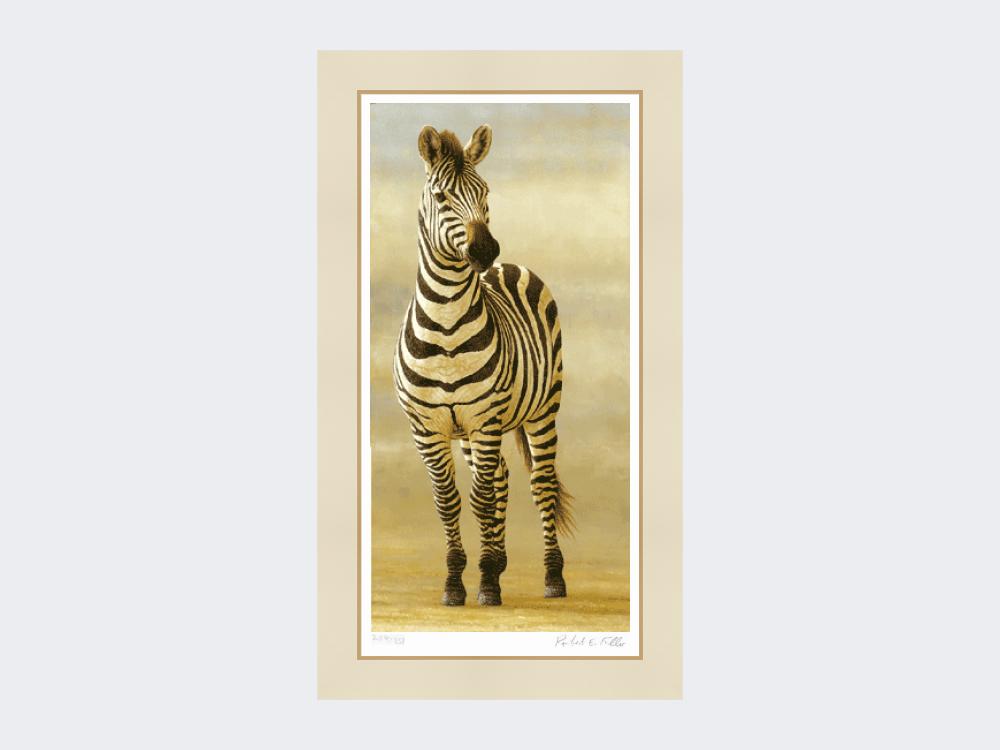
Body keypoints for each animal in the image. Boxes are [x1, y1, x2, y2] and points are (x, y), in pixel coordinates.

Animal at [392, 124, 575, 607]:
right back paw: (499, 559)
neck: (446, 325)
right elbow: (449, 501)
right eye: (441, 197)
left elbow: (480, 500)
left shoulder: (486, 418)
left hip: (543, 408)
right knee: (503, 479)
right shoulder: (428, 428)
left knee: (540, 484)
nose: (485, 249)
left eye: (486, 192)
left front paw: (487, 583)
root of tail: (508, 267)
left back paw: (553, 577)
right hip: (470, 431)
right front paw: (457, 581)